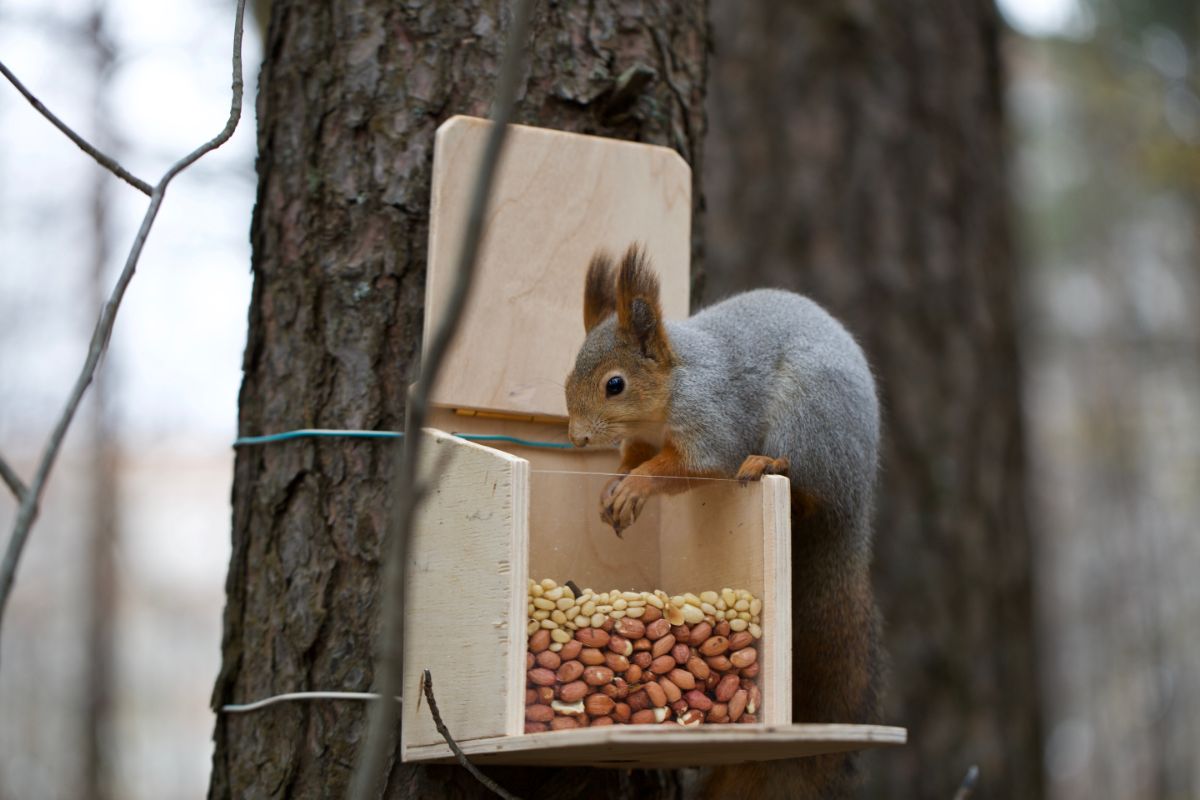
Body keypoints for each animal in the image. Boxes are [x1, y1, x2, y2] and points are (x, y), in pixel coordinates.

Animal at [561, 245, 883, 800]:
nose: (577, 438)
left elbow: (693, 465)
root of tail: (854, 500)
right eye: (567, 379)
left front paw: (636, 487)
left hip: (810, 422)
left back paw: (769, 464)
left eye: (614, 385)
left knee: (805, 490)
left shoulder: (713, 419)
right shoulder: (645, 437)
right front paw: (612, 488)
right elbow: (636, 456)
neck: (673, 385)